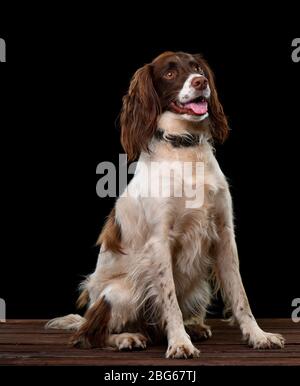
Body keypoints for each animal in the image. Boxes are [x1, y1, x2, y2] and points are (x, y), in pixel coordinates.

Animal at [46, 51, 284, 358]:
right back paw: (127, 338)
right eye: (170, 74)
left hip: (198, 286)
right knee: (88, 334)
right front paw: (180, 343)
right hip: (121, 293)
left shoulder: (224, 234)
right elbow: (169, 301)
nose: (200, 81)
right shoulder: (160, 242)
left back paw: (194, 327)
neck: (184, 148)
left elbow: (240, 296)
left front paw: (258, 335)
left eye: (196, 68)